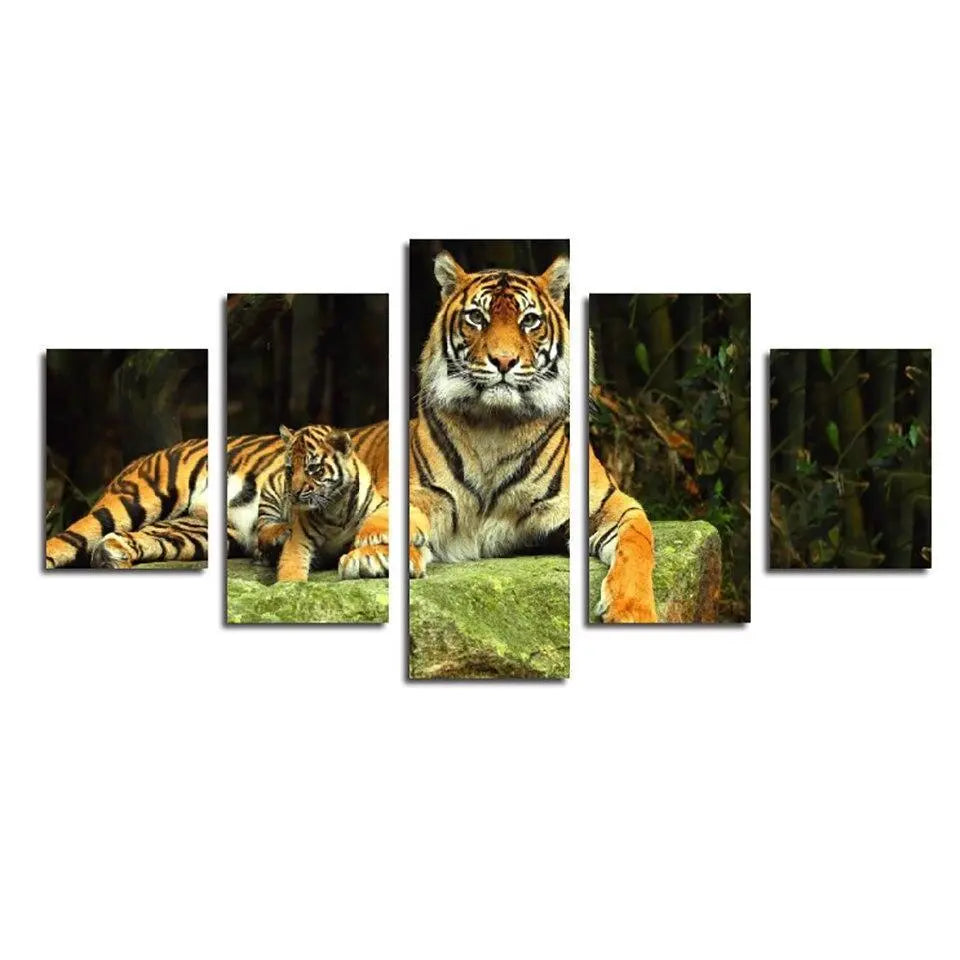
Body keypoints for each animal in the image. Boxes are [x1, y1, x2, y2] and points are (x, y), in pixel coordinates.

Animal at [346, 251, 657, 622]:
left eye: (530, 321)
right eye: (477, 318)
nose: (504, 360)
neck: (496, 426)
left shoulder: (609, 503)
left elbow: (637, 542)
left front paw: (633, 612)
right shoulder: (422, 493)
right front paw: (373, 552)